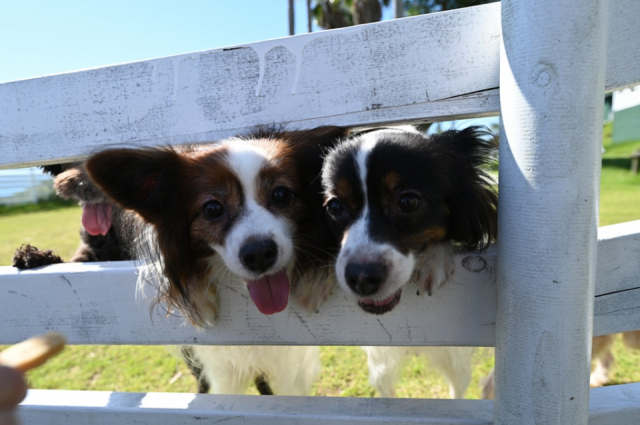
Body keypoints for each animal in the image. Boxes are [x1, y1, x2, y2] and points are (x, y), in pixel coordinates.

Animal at [85, 126, 347, 395]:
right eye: (212, 209)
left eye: (281, 194)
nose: (259, 254)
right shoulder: (223, 370)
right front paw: (201, 298)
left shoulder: (292, 367)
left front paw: (314, 279)